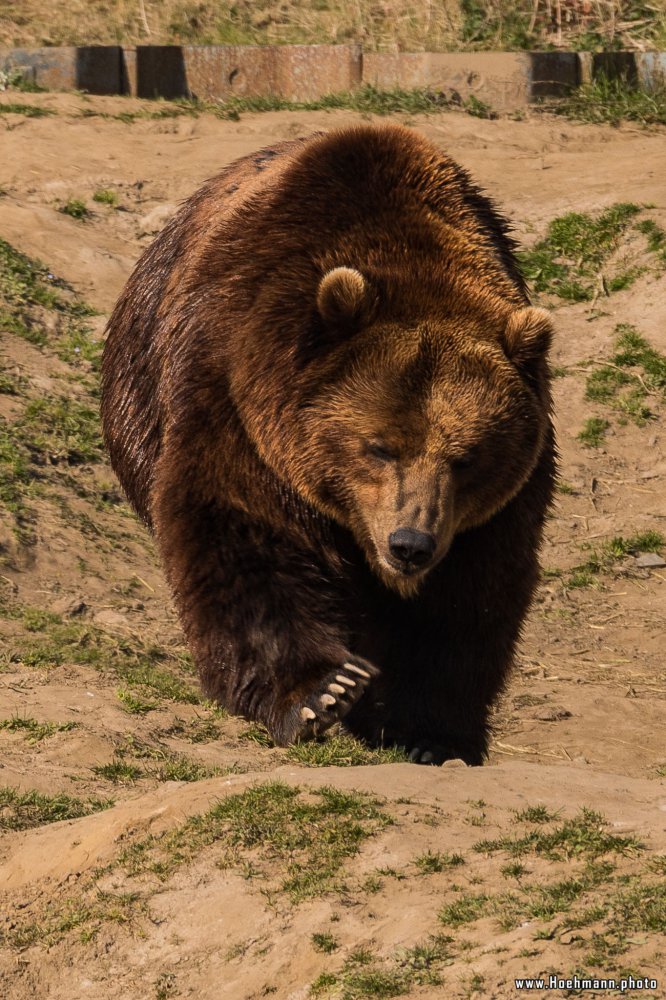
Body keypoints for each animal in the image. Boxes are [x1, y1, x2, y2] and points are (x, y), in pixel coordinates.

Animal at [100, 125, 556, 764]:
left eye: (466, 458)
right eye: (379, 446)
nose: (409, 544)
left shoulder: (496, 507)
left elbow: (470, 597)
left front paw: (430, 732)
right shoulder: (237, 404)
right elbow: (246, 534)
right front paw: (322, 692)